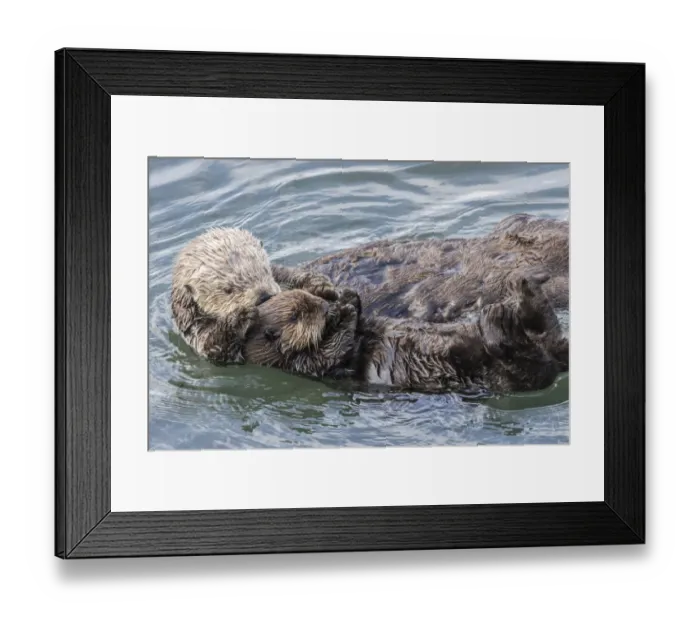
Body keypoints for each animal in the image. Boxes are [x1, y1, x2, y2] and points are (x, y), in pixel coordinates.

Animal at [171, 227, 339, 363]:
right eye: (228, 290)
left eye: (263, 269)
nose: (264, 296)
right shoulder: (195, 329)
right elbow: (214, 347)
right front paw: (242, 316)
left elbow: (287, 274)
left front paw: (320, 286)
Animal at [244, 274, 567, 394]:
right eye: (298, 315)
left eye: (309, 299)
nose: (325, 307)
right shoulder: (312, 366)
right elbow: (336, 349)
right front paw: (345, 312)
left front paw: (347, 297)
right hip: (501, 376)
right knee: (527, 364)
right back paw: (499, 320)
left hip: (546, 346)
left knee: (551, 338)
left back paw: (526, 292)